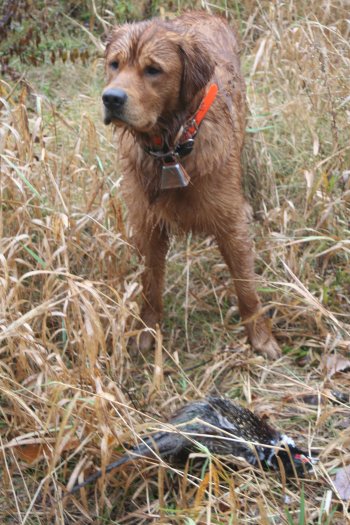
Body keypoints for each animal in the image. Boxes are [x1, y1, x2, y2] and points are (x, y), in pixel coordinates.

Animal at [102, 12, 280, 358]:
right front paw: (146, 332)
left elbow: (246, 286)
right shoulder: (147, 225)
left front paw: (260, 337)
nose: (111, 99)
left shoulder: (231, 224)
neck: (171, 148)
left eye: (153, 69)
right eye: (115, 64)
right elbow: (150, 285)